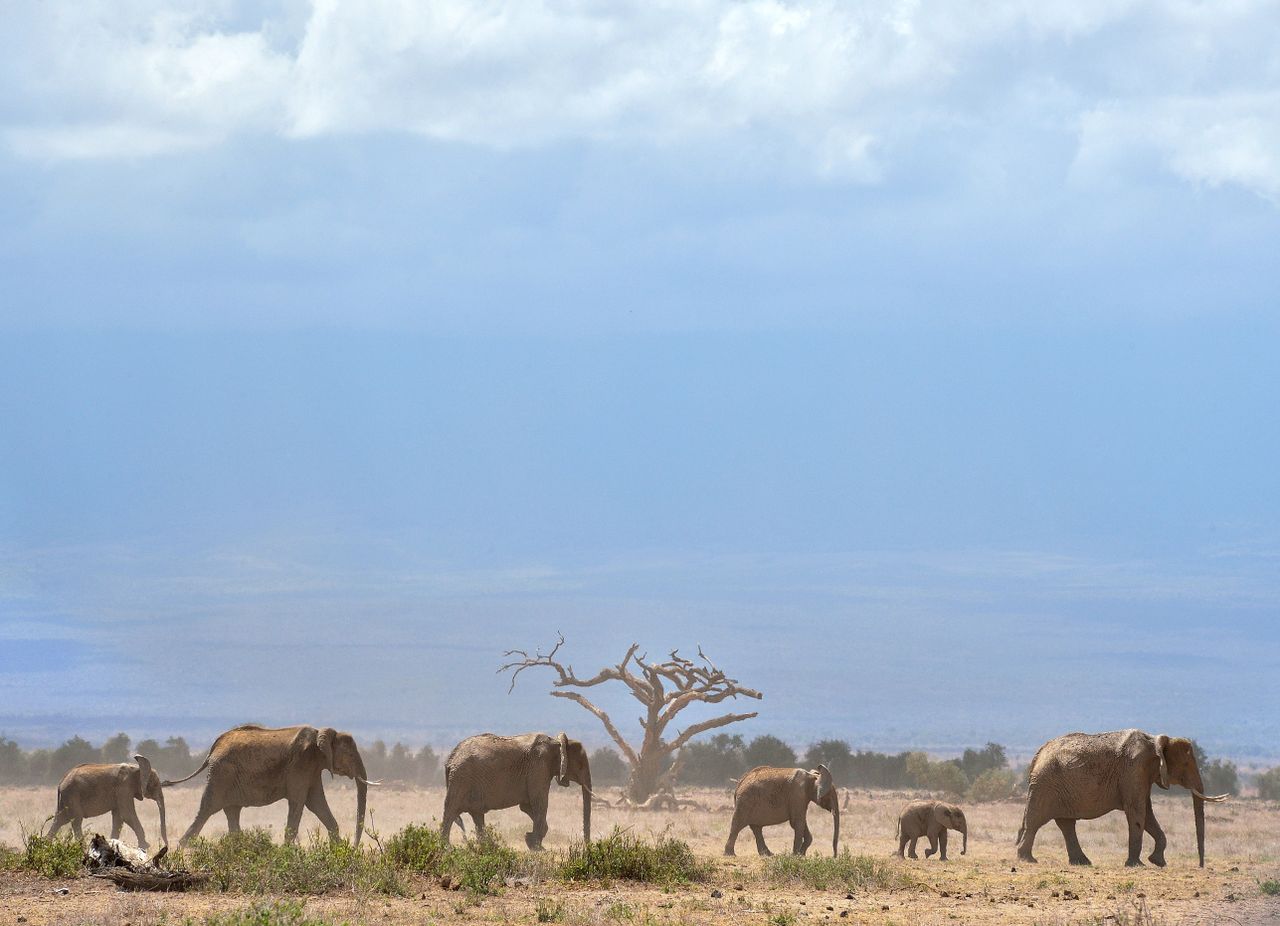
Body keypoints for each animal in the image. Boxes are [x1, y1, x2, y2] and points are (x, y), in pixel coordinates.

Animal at [165, 722, 376, 845]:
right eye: (350, 755)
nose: (355, 847)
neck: (320, 734)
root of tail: (213, 748)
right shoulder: (301, 764)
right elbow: (299, 802)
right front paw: (287, 853)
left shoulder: (312, 769)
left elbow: (317, 803)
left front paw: (339, 851)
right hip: (221, 775)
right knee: (207, 810)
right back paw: (183, 847)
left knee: (232, 812)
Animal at [442, 737, 591, 850]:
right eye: (581, 765)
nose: (586, 846)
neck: (556, 743)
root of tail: (450, 760)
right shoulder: (539, 768)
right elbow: (540, 803)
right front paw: (537, 847)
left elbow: (527, 807)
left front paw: (531, 841)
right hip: (461, 780)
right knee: (451, 812)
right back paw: (446, 848)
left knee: (477, 816)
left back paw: (487, 847)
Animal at [1013, 732, 1223, 870]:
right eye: (1186, 764)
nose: (1201, 866)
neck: (1156, 741)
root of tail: (1037, 755)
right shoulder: (1134, 770)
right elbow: (1137, 811)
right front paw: (1137, 865)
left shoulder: (1141, 775)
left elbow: (1147, 813)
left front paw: (1157, 862)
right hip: (1045, 785)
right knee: (1036, 821)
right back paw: (1027, 859)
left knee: (1066, 824)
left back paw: (1082, 862)